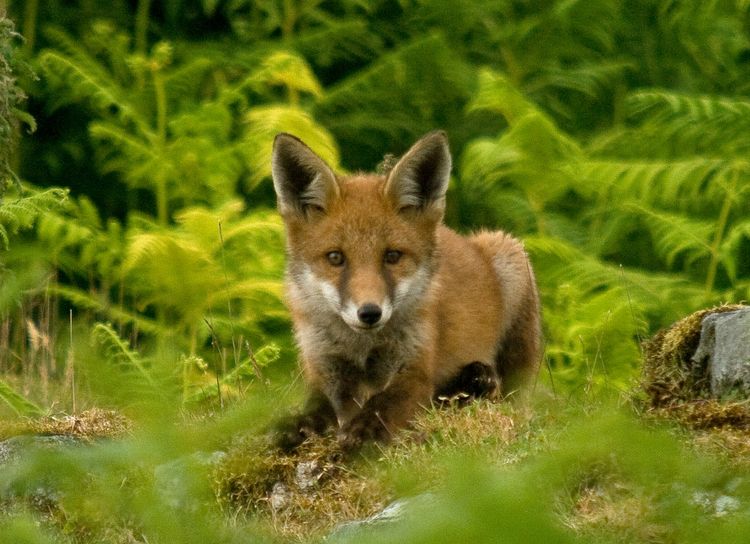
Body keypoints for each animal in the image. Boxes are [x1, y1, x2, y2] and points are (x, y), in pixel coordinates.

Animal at [271, 131, 541, 451]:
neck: (362, 348)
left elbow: (383, 404)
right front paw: (296, 427)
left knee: (506, 390)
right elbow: (315, 409)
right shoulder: (323, 369)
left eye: (392, 256)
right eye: (335, 258)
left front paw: (362, 433)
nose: (369, 313)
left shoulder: (415, 369)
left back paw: (478, 380)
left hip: (510, 256)